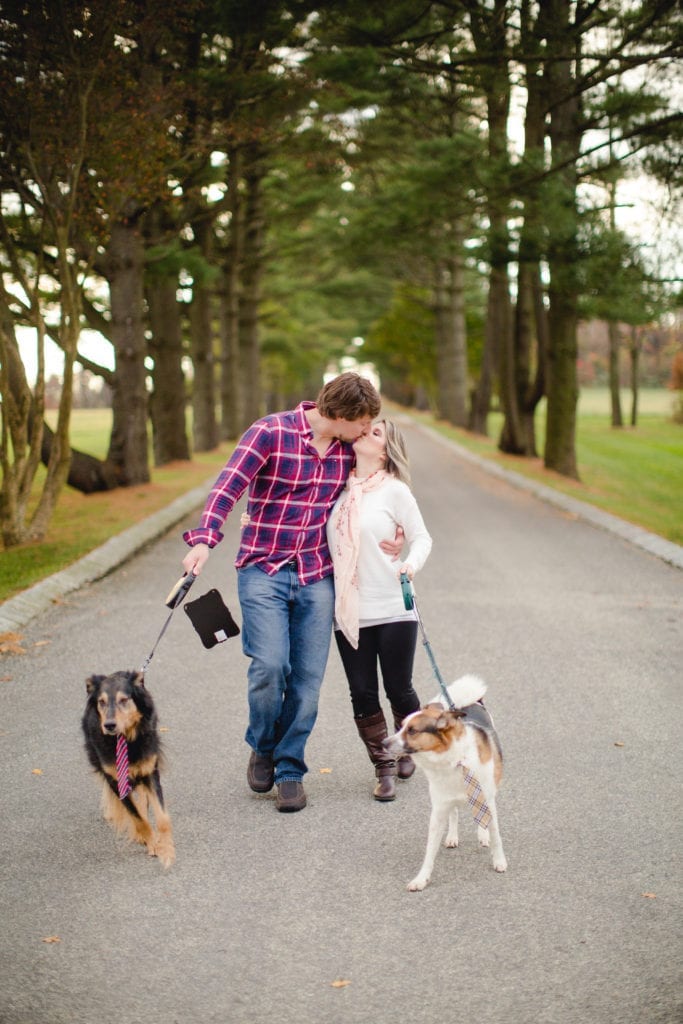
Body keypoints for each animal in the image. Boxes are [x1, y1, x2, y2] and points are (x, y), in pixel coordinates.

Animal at [82, 667, 175, 868]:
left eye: (124, 700)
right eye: (101, 702)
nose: (109, 725)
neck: (126, 738)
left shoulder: (150, 771)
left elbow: (162, 818)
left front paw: (167, 851)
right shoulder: (116, 781)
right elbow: (138, 819)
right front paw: (153, 844)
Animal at [385, 671, 507, 888]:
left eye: (412, 731)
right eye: (401, 727)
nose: (383, 743)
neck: (453, 759)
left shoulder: (488, 799)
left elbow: (495, 833)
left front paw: (499, 860)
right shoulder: (439, 809)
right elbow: (430, 850)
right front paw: (421, 879)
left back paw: (482, 835)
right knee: (455, 813)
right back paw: (452, 836)